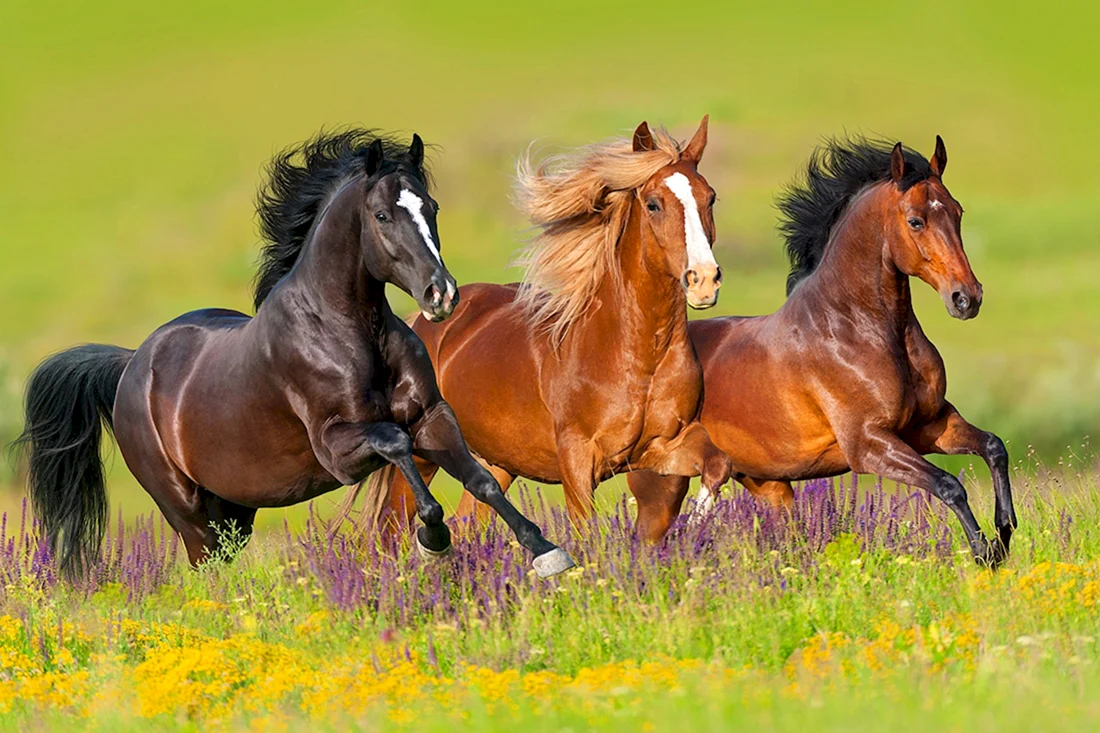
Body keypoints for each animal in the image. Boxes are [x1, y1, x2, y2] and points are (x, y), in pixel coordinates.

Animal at [15, 128, 575, 579]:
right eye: (382, 214)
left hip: (234, 510)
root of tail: (132, 364)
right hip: (186, 510)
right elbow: (395, 443)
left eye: (431, 208)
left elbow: (482, 481)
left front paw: (547, 553)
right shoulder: (338, 449)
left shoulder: (433, 417)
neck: (350, 332)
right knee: (206, 570)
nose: (442, 295)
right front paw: (433, 540)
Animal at [364, 117, 733, 533]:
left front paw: (695, 525)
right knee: (391, 526)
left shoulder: (664, 445)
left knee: (467, 520)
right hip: (424, 452)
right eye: (653, 203)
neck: (637, 356)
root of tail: (423, 324)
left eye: (710, 198)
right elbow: (587, 530)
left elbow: (718, 464)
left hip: (498, 461)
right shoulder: (577, 460)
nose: (703, 280)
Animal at [626, 136, 1017, 567]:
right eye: (916, 221)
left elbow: (994, 447)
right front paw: (985, 553)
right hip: (662, 483)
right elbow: (949, 484)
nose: (966, 298)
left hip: (769, 485)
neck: (856, 329)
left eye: (957, 212)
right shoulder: (869, 445)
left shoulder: (929, 425)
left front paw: (1004, 531)